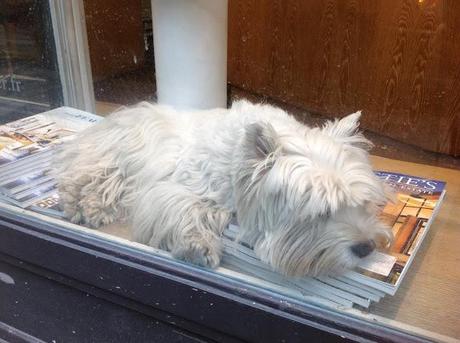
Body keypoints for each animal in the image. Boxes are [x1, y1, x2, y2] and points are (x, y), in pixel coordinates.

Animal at [54, 101, 392, 278]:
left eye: (363, 203)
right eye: (320, 213)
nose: (366, 247)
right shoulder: (172, 190)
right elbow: (187, 210)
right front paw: (198, 246)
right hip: (116, 158)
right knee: (86, 177)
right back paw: (79, 204)